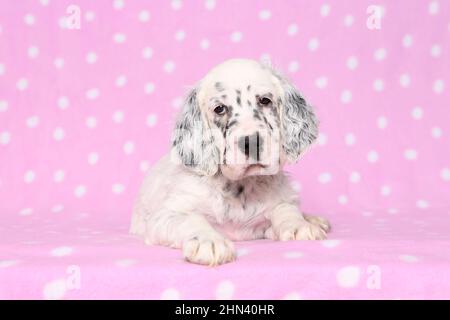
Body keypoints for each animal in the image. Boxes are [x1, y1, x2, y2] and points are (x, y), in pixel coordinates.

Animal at [130, 58, 330, 266]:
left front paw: (299, 226)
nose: (251, 142)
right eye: (220, 109)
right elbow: (190, 220)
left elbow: (286, 208)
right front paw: (208, 241)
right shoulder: (165, 215)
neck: (239, 188)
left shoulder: (277, 204)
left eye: (265, 100)